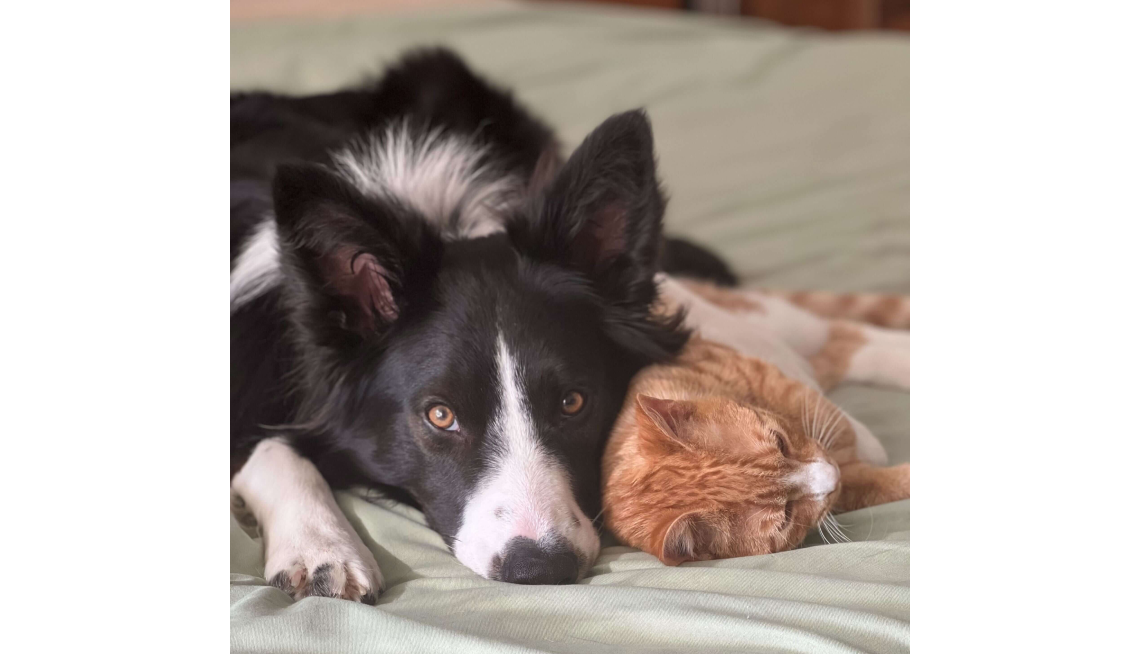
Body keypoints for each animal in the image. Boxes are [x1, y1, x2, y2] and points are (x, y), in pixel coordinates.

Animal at [606, 279, 907, 567]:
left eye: (780, 442)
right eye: (786, 514)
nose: (833, 474)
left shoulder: (766, 376)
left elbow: (832, 417)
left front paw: (861, 445)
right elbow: (868, 483)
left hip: (784, 325)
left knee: (844, 332)